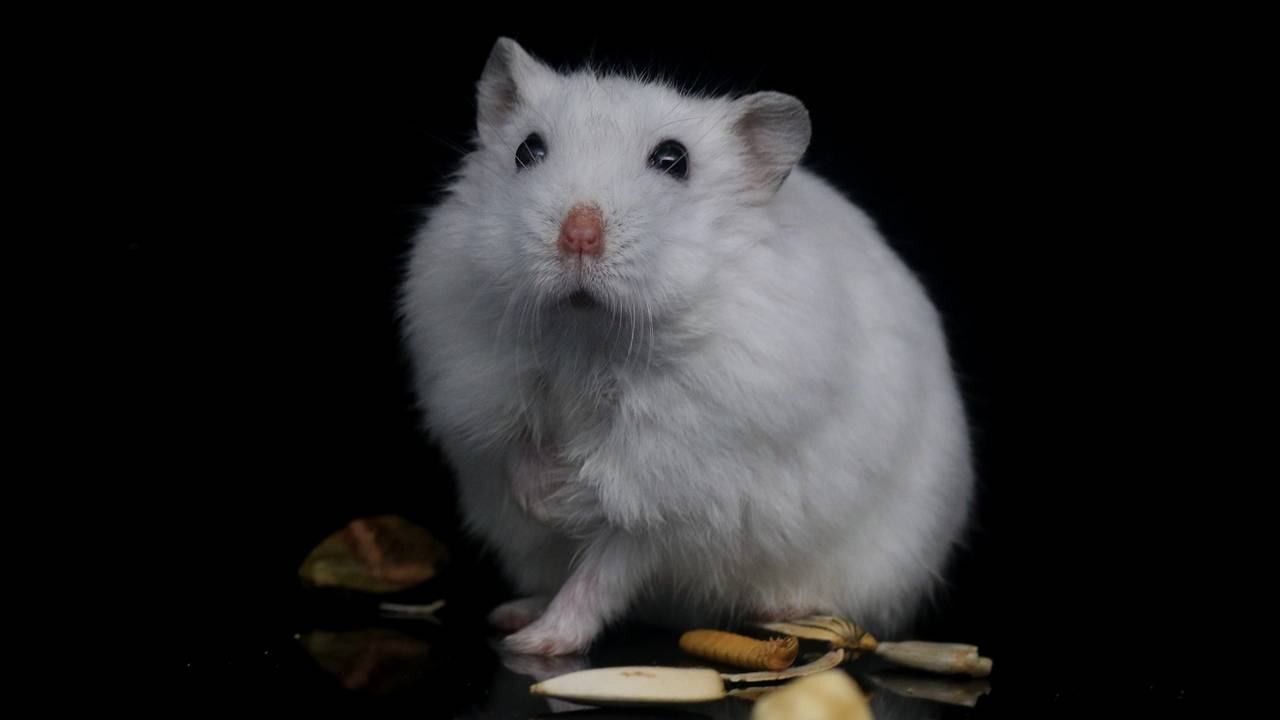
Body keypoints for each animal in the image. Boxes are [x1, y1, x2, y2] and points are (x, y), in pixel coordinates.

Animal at [400, 38, 974, 656]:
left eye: (673, 160)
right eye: (528, 150)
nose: (578, 235)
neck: (589, 334)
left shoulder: (676, 476)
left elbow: (610, 521)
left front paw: (563, 503)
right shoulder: (475, 376)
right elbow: (513, 440)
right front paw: (542, 501)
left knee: (604, 576)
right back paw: (514, 615)